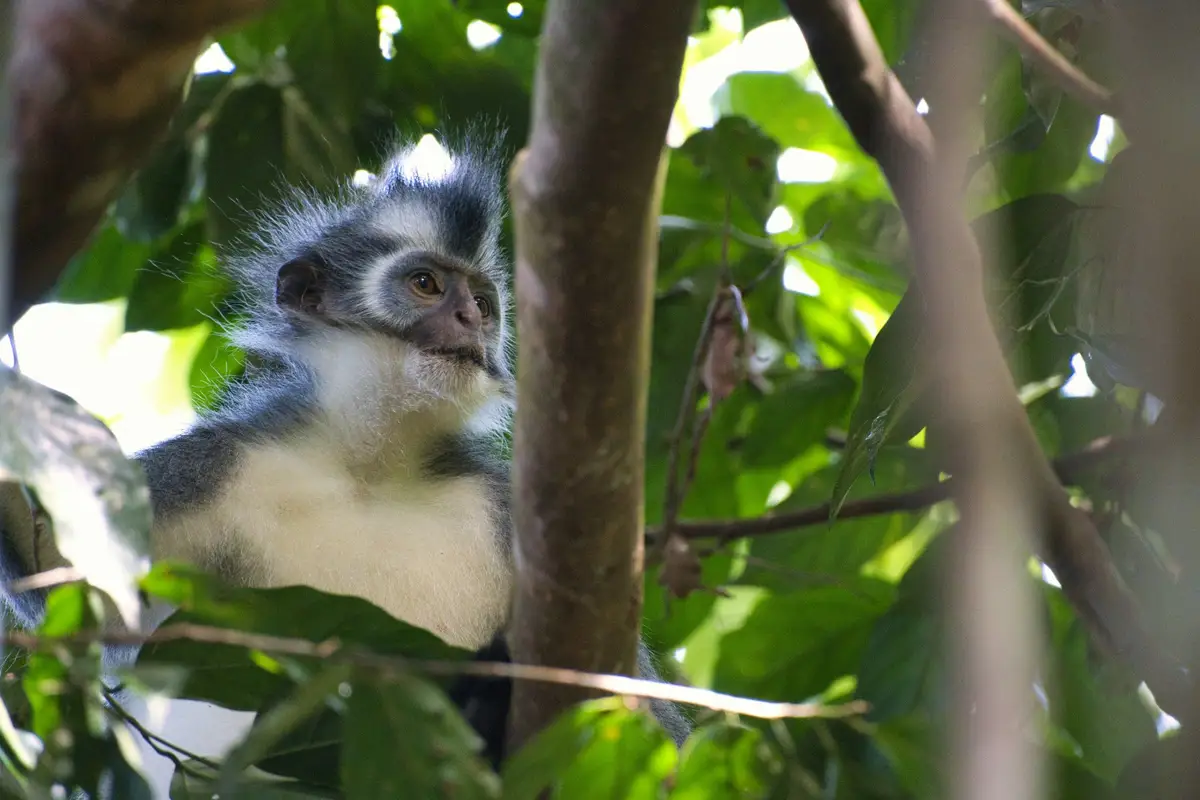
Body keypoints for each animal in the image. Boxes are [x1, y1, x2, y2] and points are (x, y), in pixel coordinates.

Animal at [0, 126, 691, 793]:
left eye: (484, 304)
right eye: (426, 284)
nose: (469, 318)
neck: (370, 468)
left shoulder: (500, 503)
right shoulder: (216, 462)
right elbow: (66, 589)